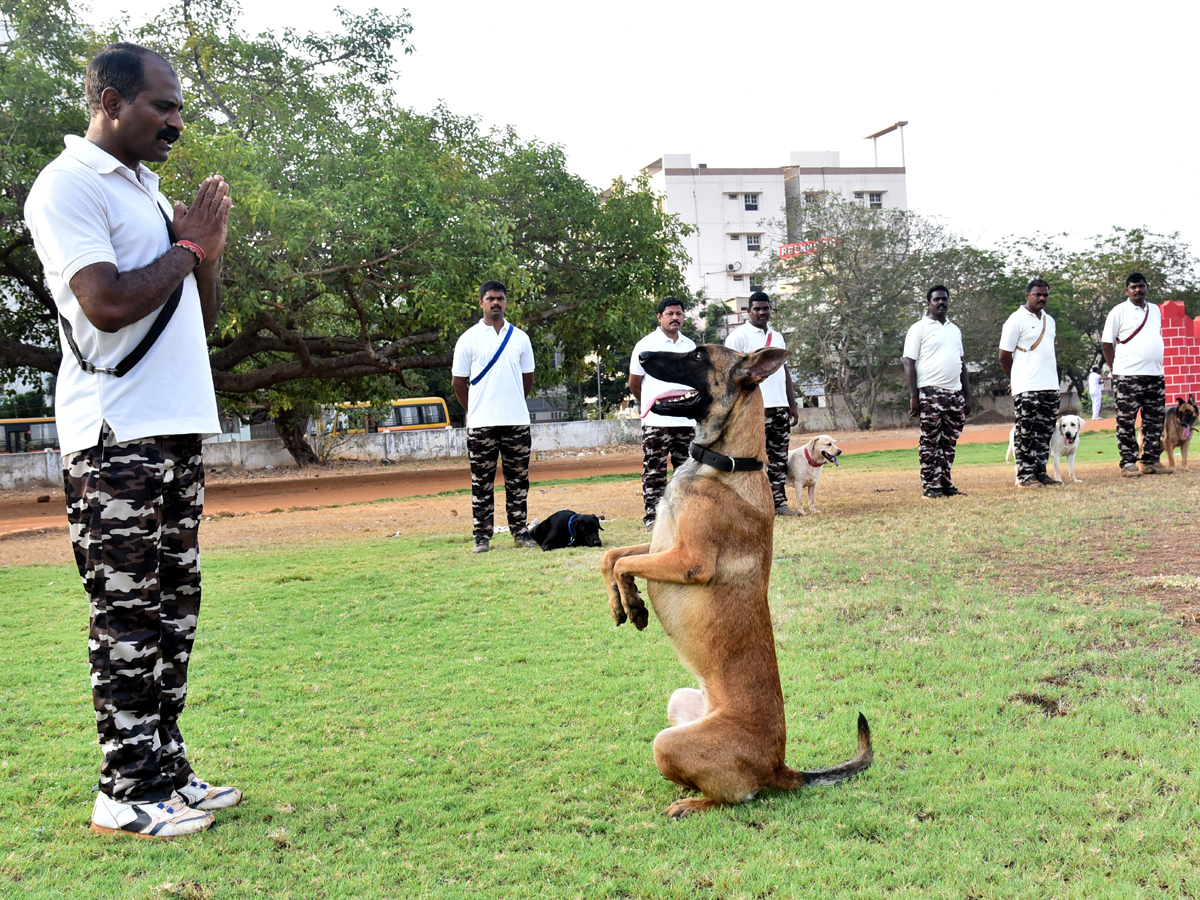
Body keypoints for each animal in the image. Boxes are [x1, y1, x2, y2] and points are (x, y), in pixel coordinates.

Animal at [600, 343, 873, 816]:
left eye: (695, 355)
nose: (643, 355)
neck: (725, 464)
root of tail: (780, 766)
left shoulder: (687, 561)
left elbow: (620, 564)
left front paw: (634, 604)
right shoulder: (658, 546)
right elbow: (611, 557)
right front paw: (624, 602)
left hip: (667, 744)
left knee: (735, 796)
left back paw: (692, 804)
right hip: (679, 700)